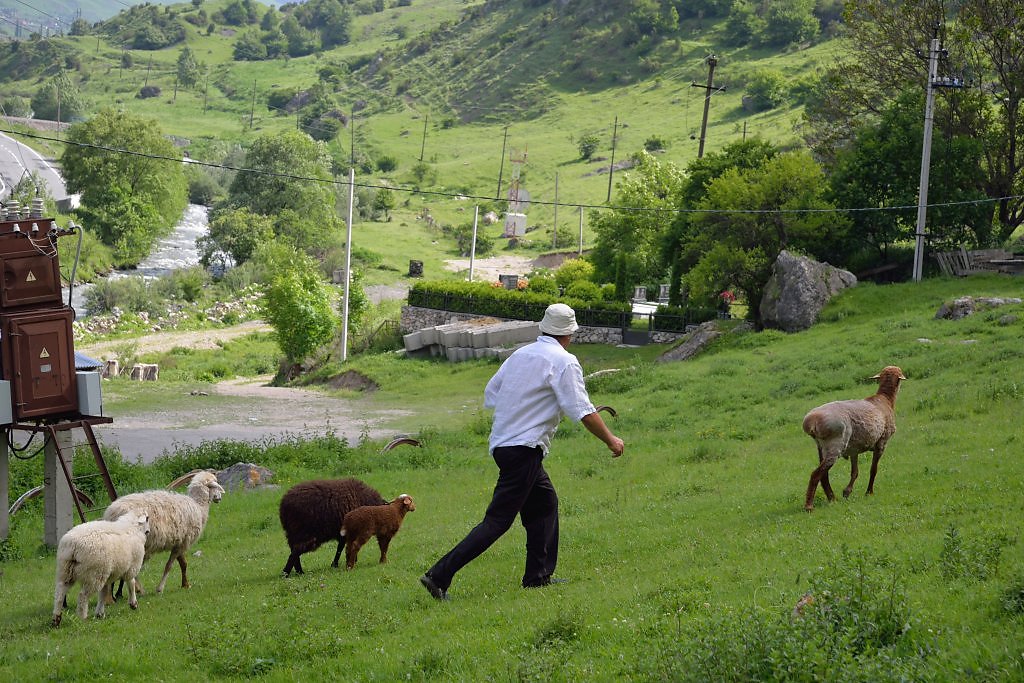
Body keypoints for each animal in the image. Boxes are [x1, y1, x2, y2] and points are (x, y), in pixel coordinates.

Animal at [798, 366, 905, 509]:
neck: (885, 399)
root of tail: (812, 422)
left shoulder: (855, 449)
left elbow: (855, 472)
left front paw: (847, 492)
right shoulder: (882, 442)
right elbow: (873, 469)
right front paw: (869, 492)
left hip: (821, 446)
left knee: (824, 474)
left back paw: (832, 498)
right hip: (836, 445)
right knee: (816, 474)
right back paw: (809, 506)